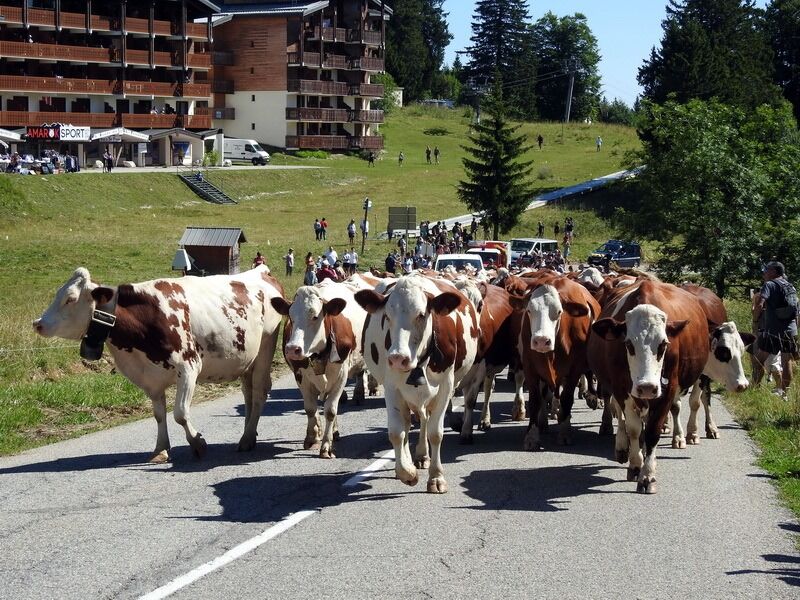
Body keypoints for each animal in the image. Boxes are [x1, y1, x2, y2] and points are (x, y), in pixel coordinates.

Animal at [33, 264, 284, 462]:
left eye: (70, 299)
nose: (38, 323)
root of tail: (261, 271)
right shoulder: (150, 378)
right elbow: (159, 415)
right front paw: (161, 449)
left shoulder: (189, 367)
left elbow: (180, 413)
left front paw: (197, 443)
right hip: (246, 360)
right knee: (248, 393)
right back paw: (249, 434)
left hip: (265, 349)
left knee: (259, 392)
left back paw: (248, 436)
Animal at [270, 278, 374, 458]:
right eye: (291, 316)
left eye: (315, 316)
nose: (292, 349)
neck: (317, 353)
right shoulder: (300, 375)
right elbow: (311, 408)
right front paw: (312, 438)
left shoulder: (341, 374)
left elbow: (331, 410)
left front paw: (326, 446)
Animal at [354, 274, 478, 494]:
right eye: (387, 316)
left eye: (421, 315)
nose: (397, 358)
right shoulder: (392, 387)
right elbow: (397, 432)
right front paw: (407, 472)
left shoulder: (446, 387)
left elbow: (435, 433)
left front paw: (436, 477)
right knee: (407, 422)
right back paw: (410, 461)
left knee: (425, 420)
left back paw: (422, 455)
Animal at [512, 274, 600, 448]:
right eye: (529, 311)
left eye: (559, 311)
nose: (541, 341)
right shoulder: (530, 367)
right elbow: (535, 400)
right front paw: (532, 436)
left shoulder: (574, 369)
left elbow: (567, 399)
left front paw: (565, 433)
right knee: (545, 393)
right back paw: (544, 422)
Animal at [584, 278, 708, 494]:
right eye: (628, 344)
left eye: (664, 344)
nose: (647, 387)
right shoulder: (621, 388)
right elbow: (633, 429)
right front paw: (635, 465)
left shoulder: (666, 391)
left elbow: (652, 432)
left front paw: (648, 475)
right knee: (622, 417)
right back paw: (622, 447)